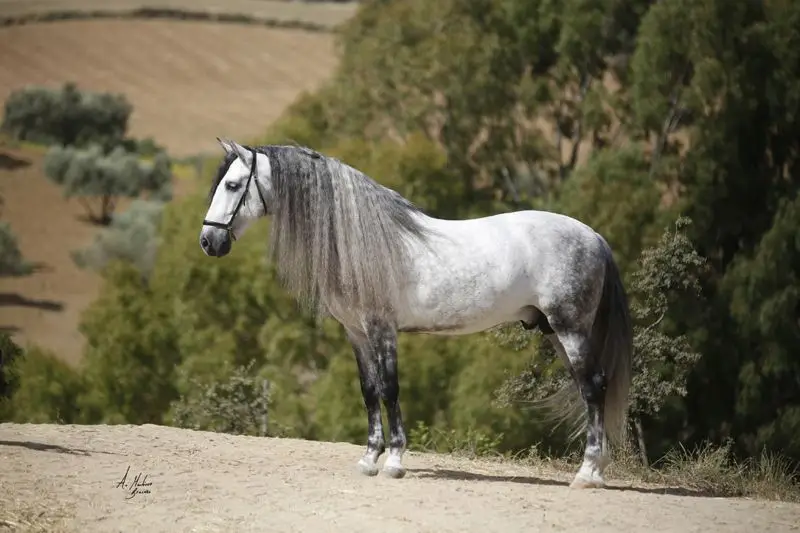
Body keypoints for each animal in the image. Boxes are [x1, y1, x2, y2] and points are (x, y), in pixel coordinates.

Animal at [199, 138, 633, 489]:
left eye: (233, 185)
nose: (208, 242)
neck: (362, 243)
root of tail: (594, 237)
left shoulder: (382, 330)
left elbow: (390, 390)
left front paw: (394, 461)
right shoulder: (357, 334)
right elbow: (369, 392)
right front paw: (369, 459)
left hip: (571, 329)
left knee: (593, 388)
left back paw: (588, 474)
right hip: (556, 332)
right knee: (589, 389)